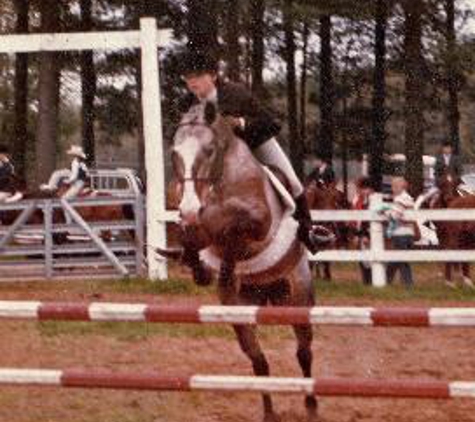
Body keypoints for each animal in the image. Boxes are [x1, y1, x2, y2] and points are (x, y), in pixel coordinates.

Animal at [158, 103, 318, 422]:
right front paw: (198, 267)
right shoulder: (193, 222)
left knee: (304, 352)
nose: (190, 208)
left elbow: (232, 225)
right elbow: (193, 235)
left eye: (209, 150)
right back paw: (269, 413)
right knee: (258, 360)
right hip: (241, 307)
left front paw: (222, 263)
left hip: (298, 296)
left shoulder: (258, 221)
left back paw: (311, 406)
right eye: (174, 153)